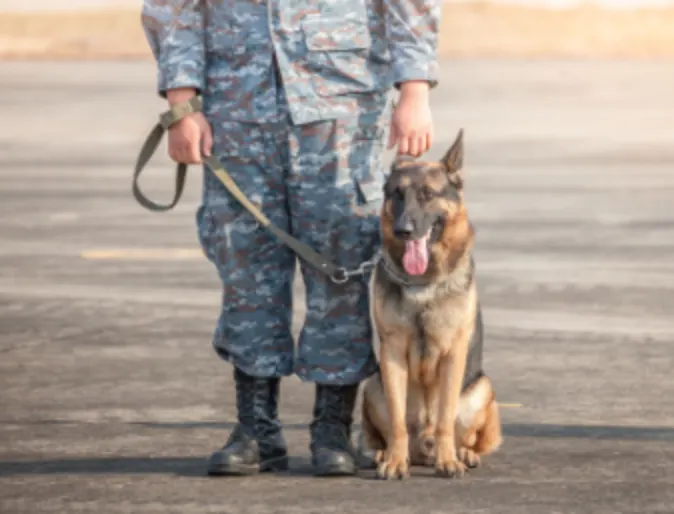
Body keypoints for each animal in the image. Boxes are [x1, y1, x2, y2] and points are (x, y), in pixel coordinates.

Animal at [356, 130, 498, 478]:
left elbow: (445, 416)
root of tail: (424, 447)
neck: (423, 284)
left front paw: (449, 462)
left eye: (427, 194)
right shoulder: (393, 354)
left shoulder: (452, 355)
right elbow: (397, 423)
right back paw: (386, 454)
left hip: (483, 387)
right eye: (396, 195)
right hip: (373, 385)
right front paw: (395, 461)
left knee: (467, 437)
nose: (403, 230)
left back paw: (462, 454)